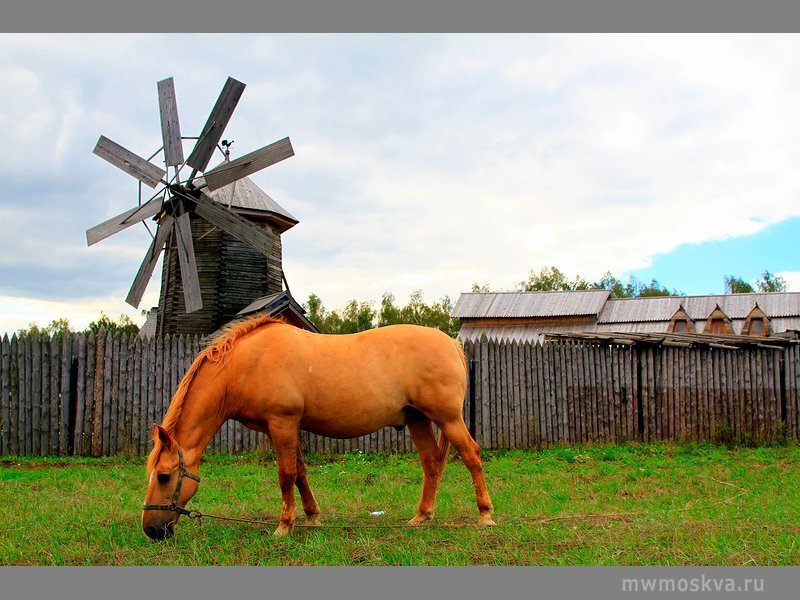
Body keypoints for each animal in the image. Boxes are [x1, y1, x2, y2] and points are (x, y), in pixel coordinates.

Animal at [142, 314, 494, 540]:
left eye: (164, 476)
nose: (150, 530)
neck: (248, 363)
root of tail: (451, 344)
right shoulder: (282, 427)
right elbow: (299, 472)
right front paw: (312, 517)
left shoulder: (282, 422)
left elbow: (286, 475)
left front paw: (284, 526)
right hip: (418, 419)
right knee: (431, 462)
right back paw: (422, 516)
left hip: (447, 418)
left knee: (472, 456)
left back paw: (485, 515)